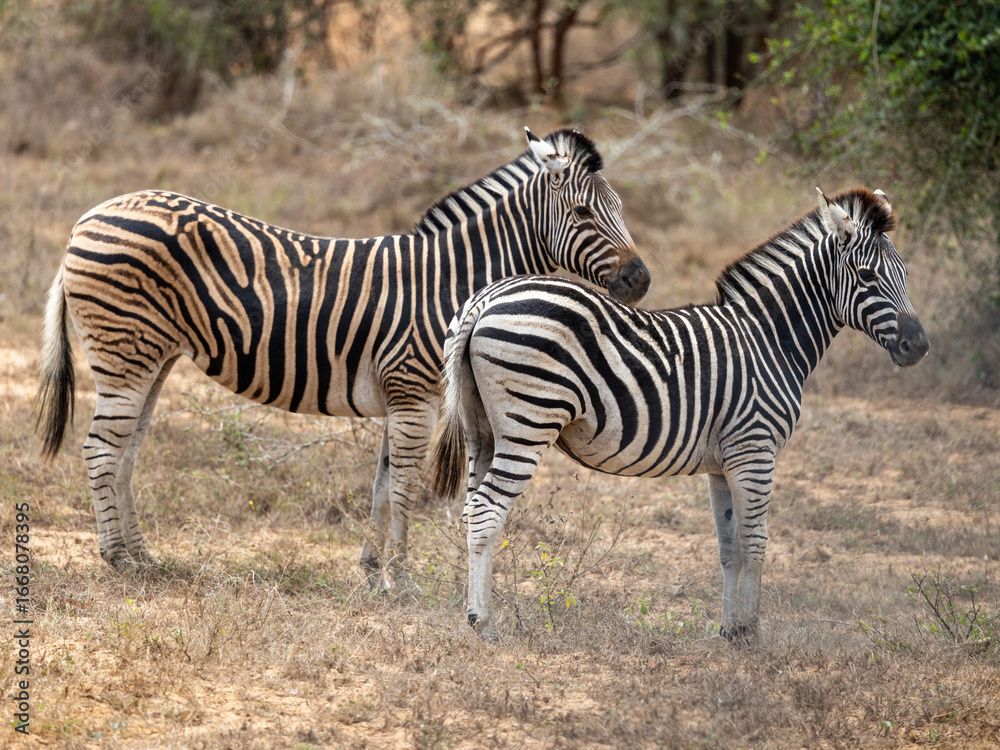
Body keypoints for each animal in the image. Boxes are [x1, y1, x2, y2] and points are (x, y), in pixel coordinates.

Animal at [35, 127, 650, 589]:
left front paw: (373, 570)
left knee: (126, 451)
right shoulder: (412, 394)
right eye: (582, 213)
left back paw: (141, 555)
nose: (642, 281)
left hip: (151, 357)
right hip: (125, 352)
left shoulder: (406, 398)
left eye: (622, 208)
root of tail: (90, 216)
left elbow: (382, 486)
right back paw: (116, 557)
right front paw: (402, 582)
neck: (449, 281)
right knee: (100, 449)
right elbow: (405, 489)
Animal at [431, 186, 929, 643]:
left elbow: (729, 547)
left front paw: (730, 631)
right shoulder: (755, 449)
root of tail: (485, 299)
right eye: (866, 275)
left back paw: (472, 615)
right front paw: (752, 634)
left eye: (905, 274)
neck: (769, 338)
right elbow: (756, 542)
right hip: (530, 421)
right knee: (487, 510)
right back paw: (484, 624)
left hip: (482, 429)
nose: (918, 347)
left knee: (471, 508)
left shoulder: (723, 464)